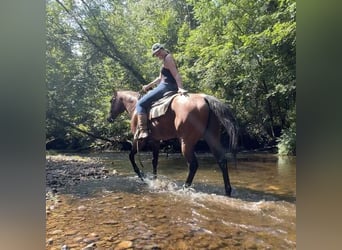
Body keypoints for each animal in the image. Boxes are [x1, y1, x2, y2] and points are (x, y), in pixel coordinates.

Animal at [107, 91, 238, 196]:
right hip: (212, 138)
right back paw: (227, 190)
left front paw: (142, 176)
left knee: (193, 165)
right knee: (221, 160)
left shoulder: (139, 140)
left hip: (186, 143)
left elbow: (131, 156)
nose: (109, 118)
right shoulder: (155, 141)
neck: (135, 106)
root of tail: (204, 98)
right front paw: (154, 180)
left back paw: (185, 188)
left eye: (111, 101)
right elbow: (154, 161)